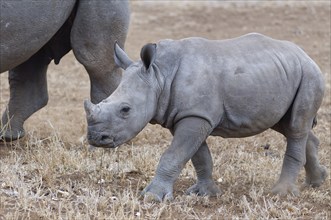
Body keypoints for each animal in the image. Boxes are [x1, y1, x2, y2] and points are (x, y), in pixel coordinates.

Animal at [83, 33, 326, 201]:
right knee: (287, 125)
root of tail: (305, 54)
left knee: (295, 127)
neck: (159, 75)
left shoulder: (196, 116)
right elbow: (198, 156)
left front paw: (152, 197)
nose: (96, 138)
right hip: (280, 76)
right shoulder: (187, 115)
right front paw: (204, 193)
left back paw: (281, 193)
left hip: (309, 74)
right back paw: (317, 181)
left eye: (125, 109)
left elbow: (174, 155)